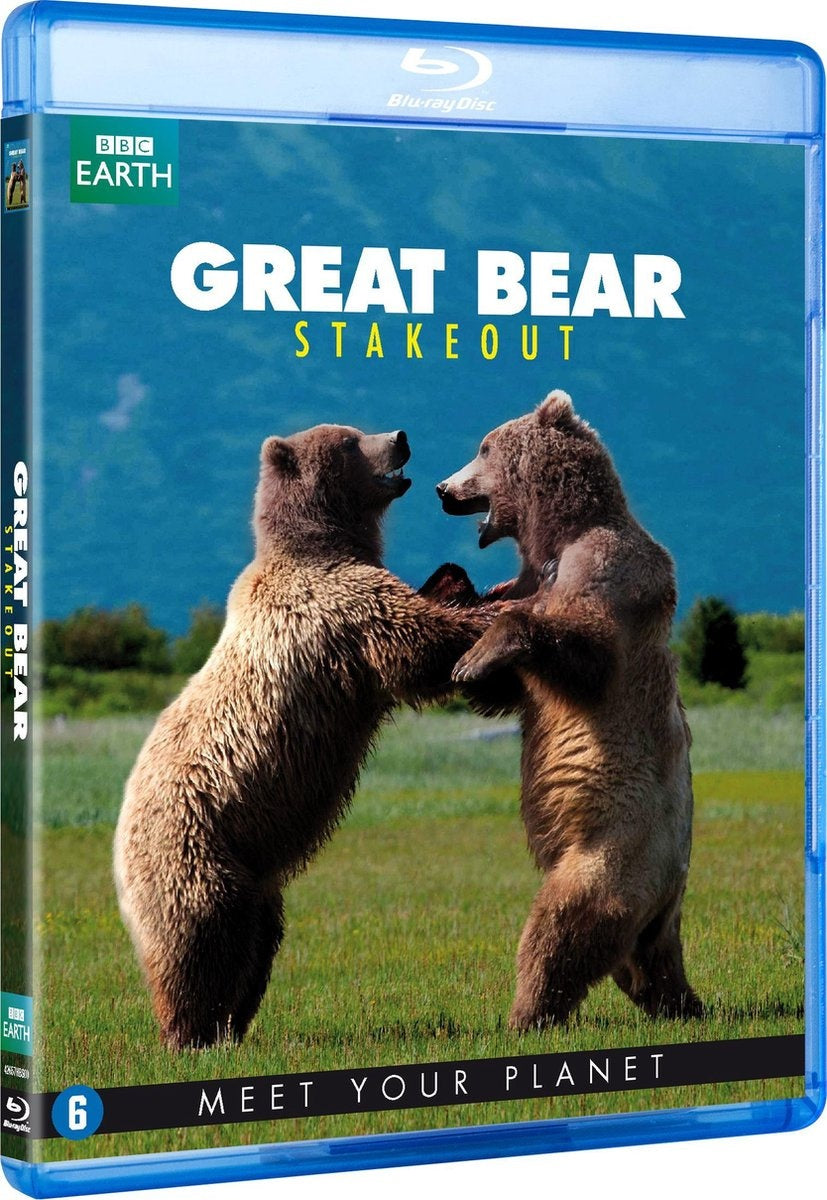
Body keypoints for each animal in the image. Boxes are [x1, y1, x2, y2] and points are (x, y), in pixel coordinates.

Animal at [114, 423, 498, 1050]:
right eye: (348, 441)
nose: (400, 435)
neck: (325, 544)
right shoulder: (336, 608)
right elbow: (415, 645)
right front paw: (490, 611)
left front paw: (455, 580)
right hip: (195, 852)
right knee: (202, 942)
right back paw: (190, 1032)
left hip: (254, 875)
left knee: (257, 941)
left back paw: (231, 1024)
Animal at [434, 390, 703, 1029]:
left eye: (483, 446)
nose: (442, 487)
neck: (552, 540)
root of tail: (670, 899)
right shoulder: (527, 579)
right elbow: (512, 687)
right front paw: (458, 618)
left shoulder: (610, 573)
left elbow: (585, 648)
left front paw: (475, 656)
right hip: (646, 912)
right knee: (642, 967)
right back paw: (684, 1003)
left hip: (616, 852)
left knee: (563, 925)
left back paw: (525, 1013)